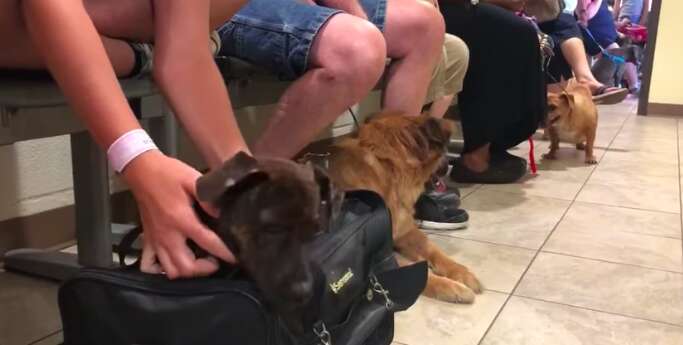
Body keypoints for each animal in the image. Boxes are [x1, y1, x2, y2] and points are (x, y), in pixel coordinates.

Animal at [328, 111, 484, 302]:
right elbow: (418, 273)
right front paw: (451, 287)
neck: (386, 168)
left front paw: (461, 272)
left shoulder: (406, 231)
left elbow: (434, 250)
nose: (450, 164)